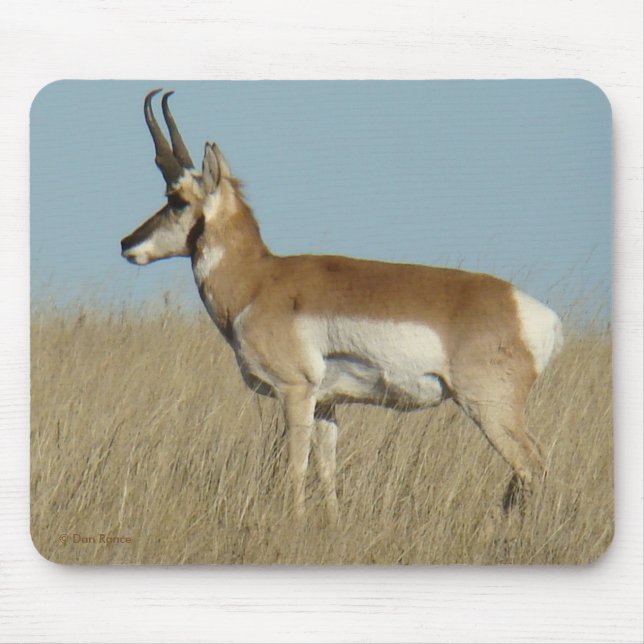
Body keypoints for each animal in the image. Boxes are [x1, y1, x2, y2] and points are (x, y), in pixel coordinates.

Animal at [121, 89, 563, 523]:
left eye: (177, 199)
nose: (126, 243)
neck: (259, 281)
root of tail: (537, 314)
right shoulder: (327, 405)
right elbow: (326, 468)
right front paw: (332, 522)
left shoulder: (295, 392)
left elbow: (296, 466)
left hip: (489, 409)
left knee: (533, 464)